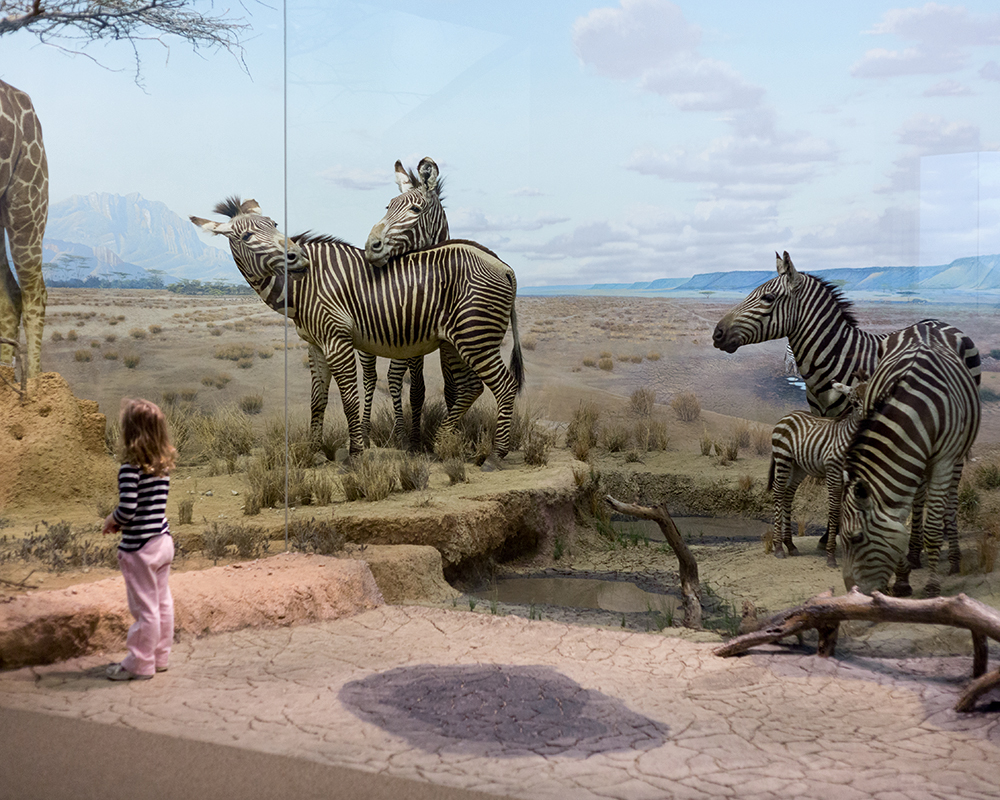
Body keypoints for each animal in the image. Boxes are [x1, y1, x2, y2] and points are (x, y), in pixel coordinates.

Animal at [190, 197, 528, 460]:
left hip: (475, 337)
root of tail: (503, 265)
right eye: (246, 236)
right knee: (472, 387)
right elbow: (318, 399)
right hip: (455, 341)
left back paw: (496, 454)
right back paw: (439, 441)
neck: (303, 286)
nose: (296, 256)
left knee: (504, 386)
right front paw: (314, 451)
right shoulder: (316, 344)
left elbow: (350, 399)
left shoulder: (337, 339)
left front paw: (356, 453)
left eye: (274, 224)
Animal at [764, 376, 868, 568]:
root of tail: (788, 415)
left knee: (788, 494)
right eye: (854, 402)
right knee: (778, 491)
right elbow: (834, 510)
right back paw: (778, 547)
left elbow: (847, 510)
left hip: (799, 467)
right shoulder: (833, 473)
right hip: (783, 458)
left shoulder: (850, 478)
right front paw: (831, 555)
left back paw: (790, 544)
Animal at [840, 324, 980, 592]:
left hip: (957, 454)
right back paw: (915, 555)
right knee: (919, 498)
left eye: (857, 538)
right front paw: (902, 578)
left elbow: (933, 528)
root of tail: (930, 322)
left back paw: (954, 558)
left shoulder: (944, 460)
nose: (853, 591)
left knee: (951, 499)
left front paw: (932, 585)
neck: (913, 409)